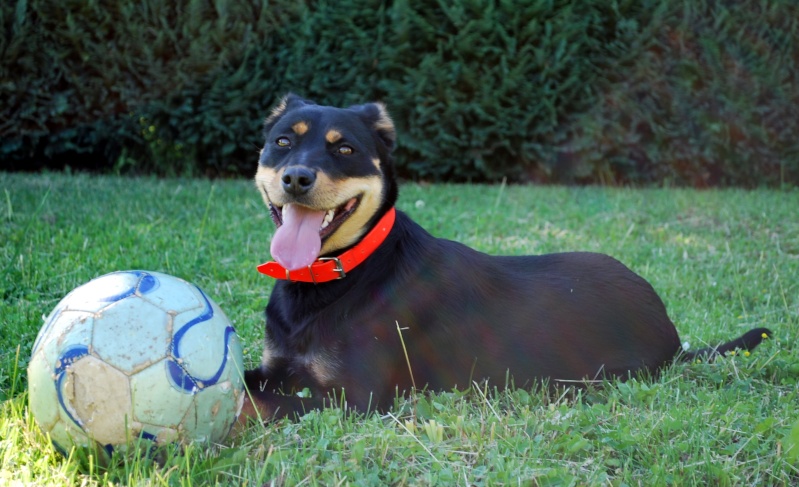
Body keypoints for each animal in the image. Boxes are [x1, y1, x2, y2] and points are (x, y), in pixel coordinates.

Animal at [242, 93, 768, 422]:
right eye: (282, 142)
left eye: (345, 149)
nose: (296, 178)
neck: (338, 275)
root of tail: (672, 335)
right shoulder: (278, 368)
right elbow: (249, 384)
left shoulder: (357, 398)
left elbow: (255, 402)